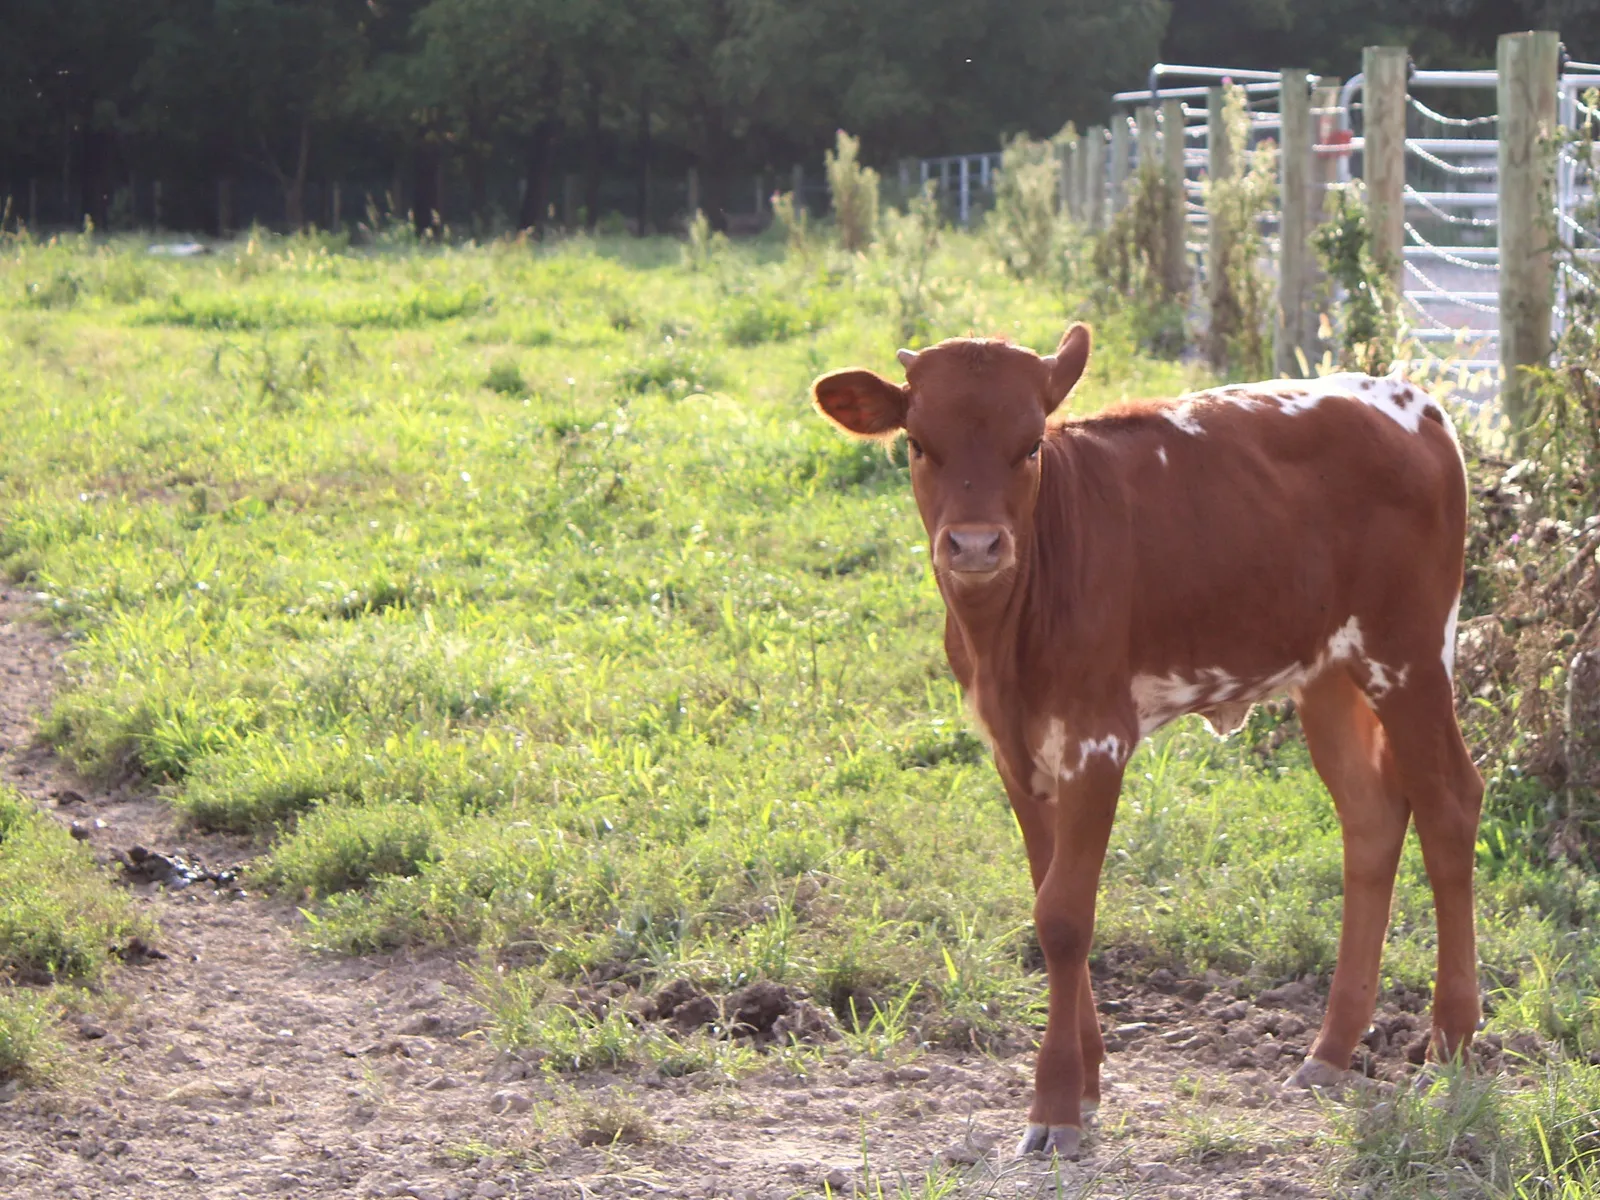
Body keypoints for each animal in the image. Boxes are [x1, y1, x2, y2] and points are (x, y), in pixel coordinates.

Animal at [810, 323, 1481, 1159]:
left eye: (1030, 445)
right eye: (918, 444)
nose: (973, 546)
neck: (1006, 634)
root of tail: (1405, 399)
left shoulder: (1097, 740)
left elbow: (1065, 916)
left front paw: (1056, 1103)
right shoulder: (1013, 750)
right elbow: (1046, 896)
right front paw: (1088, 1079)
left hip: (1410, 654)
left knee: (1450, 804)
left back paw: (1452, 1044)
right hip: (1328, 673)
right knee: (1371, 816)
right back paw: (1329, 1050)